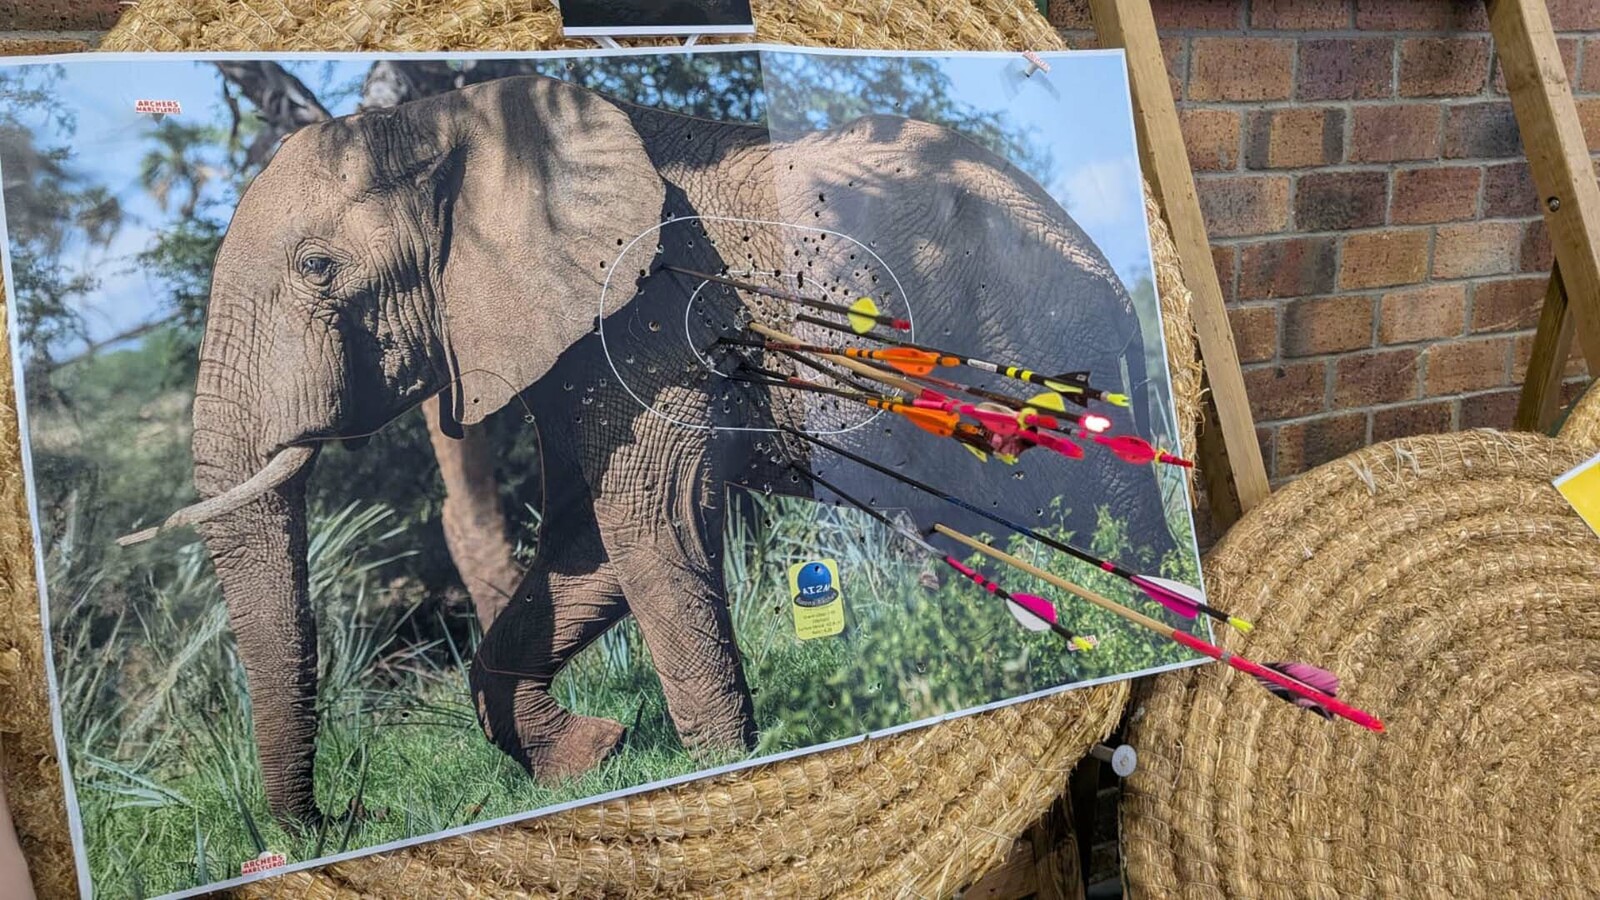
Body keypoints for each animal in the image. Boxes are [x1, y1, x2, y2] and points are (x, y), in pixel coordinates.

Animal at [152, 72, 1176, 828]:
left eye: (318, 270)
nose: (342, 819)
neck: (454, 122)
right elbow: (587, 543)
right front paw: (586, 758)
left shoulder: (653, 313)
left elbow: (647, 521)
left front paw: (725, 764)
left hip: (1053, 343)